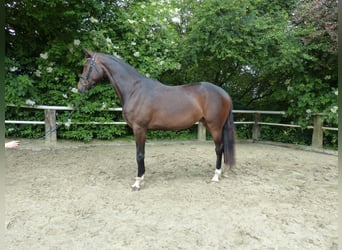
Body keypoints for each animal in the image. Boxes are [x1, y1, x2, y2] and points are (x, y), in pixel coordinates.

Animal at [77, 48, 235, 189]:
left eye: (86, 66)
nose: (80, 87)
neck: (134, 90)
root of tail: (224, 93)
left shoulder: (139, 128)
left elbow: (140, 155)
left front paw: (137, 182)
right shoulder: (140, 129)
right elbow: (140, 153)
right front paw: (141, 178)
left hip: (215, 126)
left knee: (219, 148)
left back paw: (216, 176)